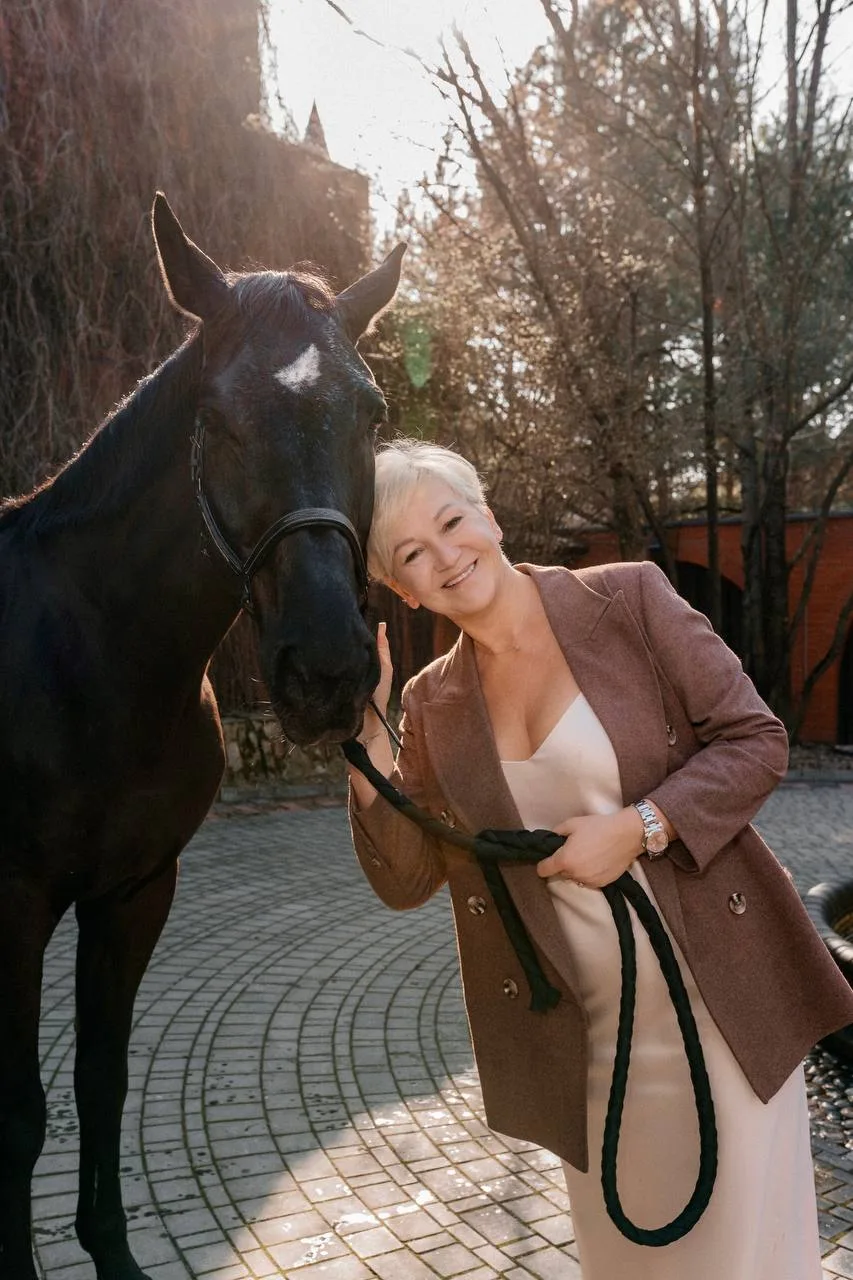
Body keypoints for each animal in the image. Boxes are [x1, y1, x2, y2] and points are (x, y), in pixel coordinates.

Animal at [0, 193, 404, 1280]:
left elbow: (100, 1080)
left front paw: (115, 1252)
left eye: (373, 413)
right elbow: (19, 1109)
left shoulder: (136, 891)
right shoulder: (13, 905)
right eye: (215, 418)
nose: (327, 668)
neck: (92, 654)